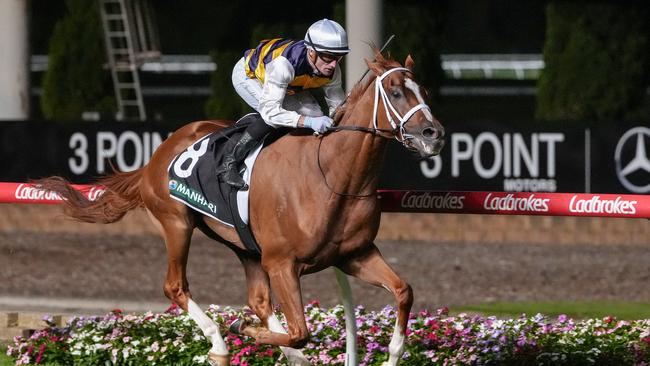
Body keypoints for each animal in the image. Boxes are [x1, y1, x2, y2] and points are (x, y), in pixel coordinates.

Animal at [36, 49, 446, 366]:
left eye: (423, 90)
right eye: (395, 91)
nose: (434, 134)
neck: (332, 176)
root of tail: (157, 155)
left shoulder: (354, 255)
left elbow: (403, 291)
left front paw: (393, 353)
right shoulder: (282, 264)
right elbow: (299, 332)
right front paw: (243, 329)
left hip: (244, 245)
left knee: (260, 300)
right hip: (177, 223)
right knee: (176, 286)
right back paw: (220, 342)